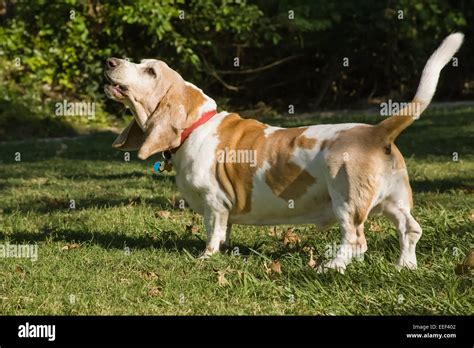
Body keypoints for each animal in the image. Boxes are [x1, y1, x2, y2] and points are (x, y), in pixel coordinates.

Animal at [103, 33, 462, 272]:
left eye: (150, 71)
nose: (110, 62)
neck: (196, 125)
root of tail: (375, 131)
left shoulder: (214, 203)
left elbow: (213, 232)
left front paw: (206, 257)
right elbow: (226, 232)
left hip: (346, 200)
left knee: (356, 242)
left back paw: (328, 267)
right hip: (394, 201)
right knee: (410, 229)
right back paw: (405, 266)